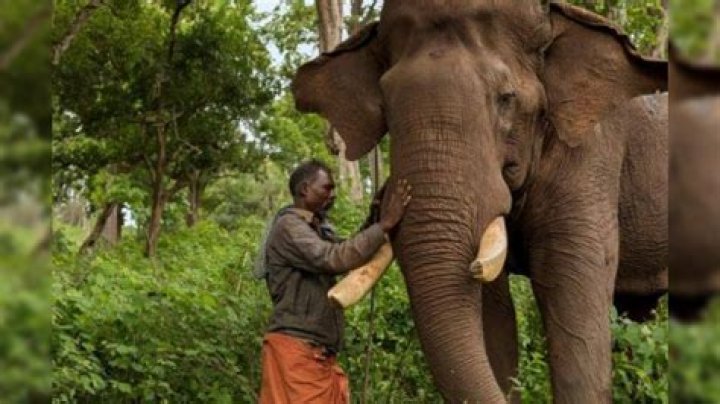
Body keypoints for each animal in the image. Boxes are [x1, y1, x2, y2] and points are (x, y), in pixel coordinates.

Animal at [292, 1, 667, 402]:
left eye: (506, 98)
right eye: (385, 107)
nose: (385, 205)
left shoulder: (591, 153)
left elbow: (571, 300)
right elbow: (491, 312)